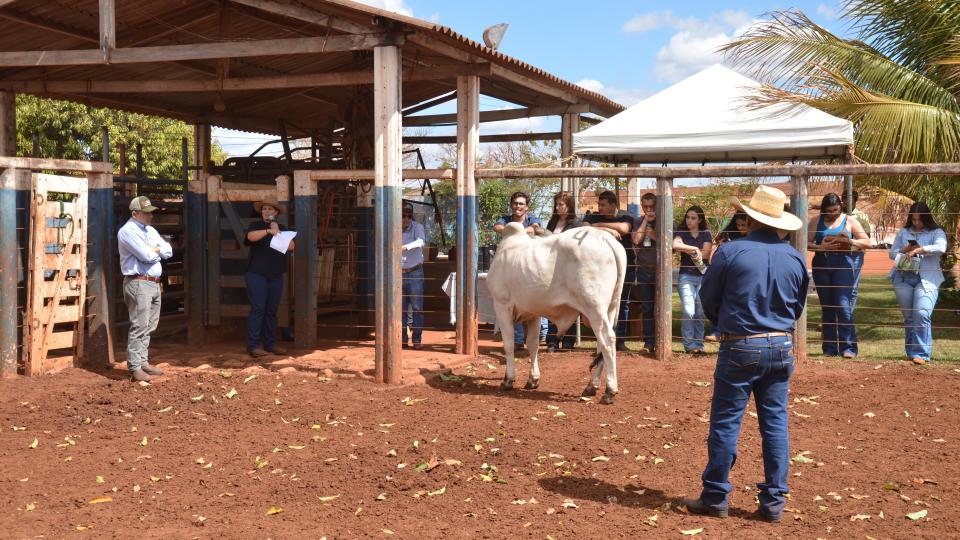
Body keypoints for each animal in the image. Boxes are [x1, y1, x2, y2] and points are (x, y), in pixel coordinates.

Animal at [484, 221, 628, 402]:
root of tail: (603, 237)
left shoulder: (502, 305)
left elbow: (509, 344)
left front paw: (508, 380)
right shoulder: (533, 313)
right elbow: (533, 344)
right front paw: (533, 380)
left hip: (595, 306)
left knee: (608, 340)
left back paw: (610, 390)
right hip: (610, 308)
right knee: (601, 346)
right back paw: (591, 387)